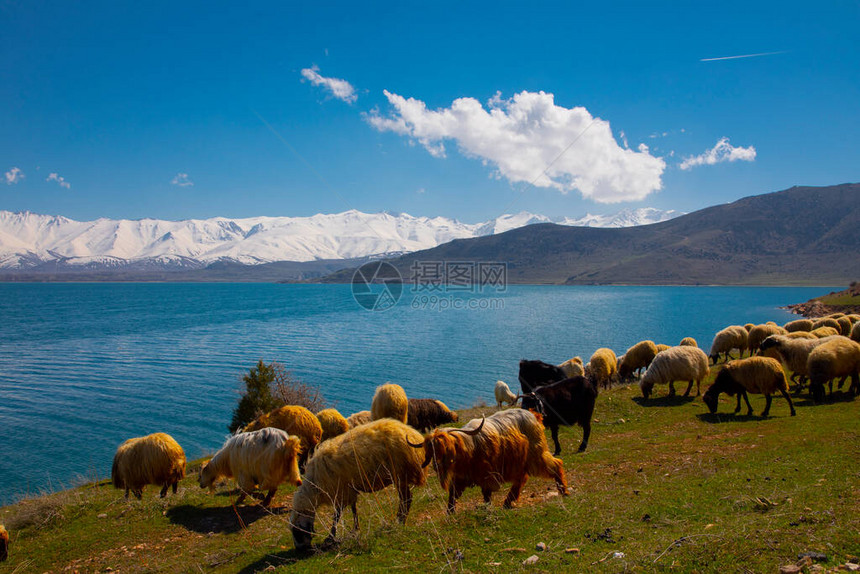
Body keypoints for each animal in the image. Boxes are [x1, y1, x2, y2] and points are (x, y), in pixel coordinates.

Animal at [408, 412, 564, 516]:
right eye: (431, 451)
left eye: (445, 449)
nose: (437, 464)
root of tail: (533, 415)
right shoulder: (461, 477)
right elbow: (453, 495)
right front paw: (450, 513)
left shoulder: (488, 475)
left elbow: (487, 494)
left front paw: (488, 508)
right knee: (521, 479)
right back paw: (508, 502)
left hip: (536, 454)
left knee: (555, 465)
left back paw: (564, 491)